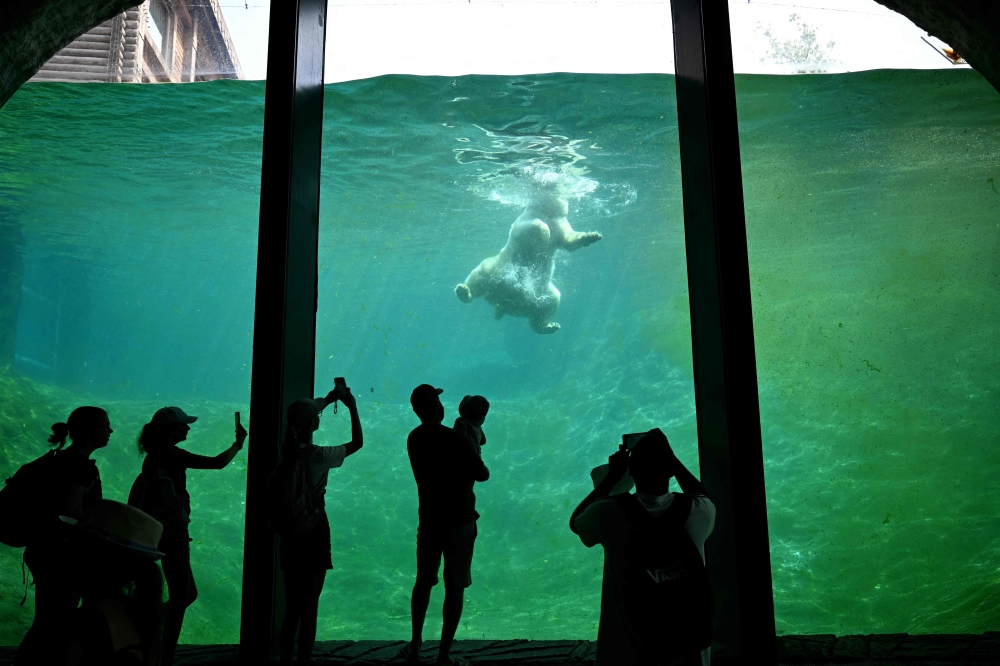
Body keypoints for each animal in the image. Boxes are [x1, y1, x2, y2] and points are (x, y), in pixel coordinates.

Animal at [455, 197, 602, 334]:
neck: (547, 211)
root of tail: (503, 306)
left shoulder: (560, 223)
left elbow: (568, 241)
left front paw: (592, 236)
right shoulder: (526, 218)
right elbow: (529, 228)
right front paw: (546, 233)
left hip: (543, 291)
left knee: (551, 302)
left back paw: (549, 326)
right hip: (494, 269)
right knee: (478, 277)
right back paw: (464, 291)